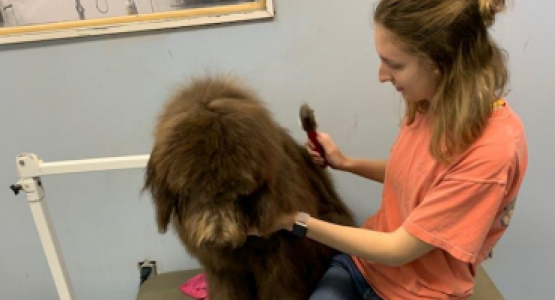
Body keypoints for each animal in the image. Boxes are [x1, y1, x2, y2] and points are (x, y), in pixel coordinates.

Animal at [141, 76, 354, 298]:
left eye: (239, 189)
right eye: (194, 187)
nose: (219, 239)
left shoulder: (278, 259)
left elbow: (279, 289)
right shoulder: (223, 268)